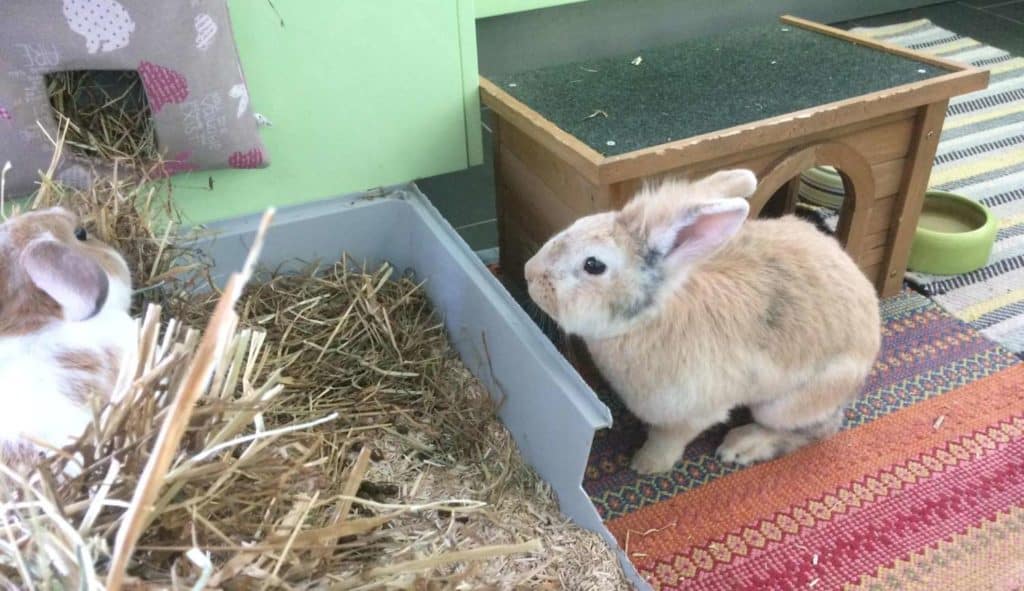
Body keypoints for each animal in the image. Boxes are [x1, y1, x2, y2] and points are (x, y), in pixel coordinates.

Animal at [528, 167, 880, 473]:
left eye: (593, 265)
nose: (529, 272)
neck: (646, 323)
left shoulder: (692, 415)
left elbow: (666, 440)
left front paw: (645, 465)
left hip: (787, 404)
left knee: (815, 431)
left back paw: (742, 445)